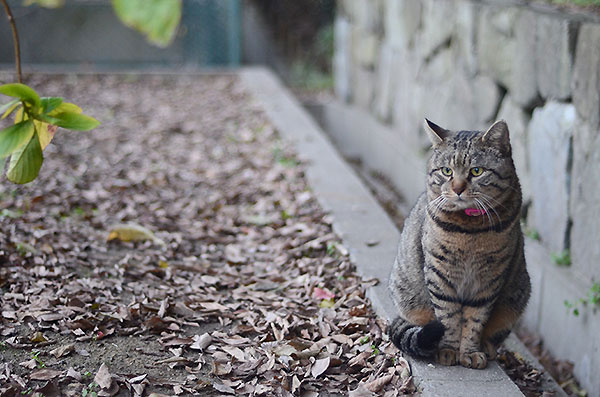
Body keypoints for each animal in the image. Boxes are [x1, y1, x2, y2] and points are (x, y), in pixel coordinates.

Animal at [384, 118, 528, 368]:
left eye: (476, 171)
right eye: (446, 171)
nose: (458, 188)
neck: (470, 230)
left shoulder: (489, 280)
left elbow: (475, 320)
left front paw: (470, 351)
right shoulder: (440, 273)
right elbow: (448, 317)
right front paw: (448, 350)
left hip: (516, 298)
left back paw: (487, 347)